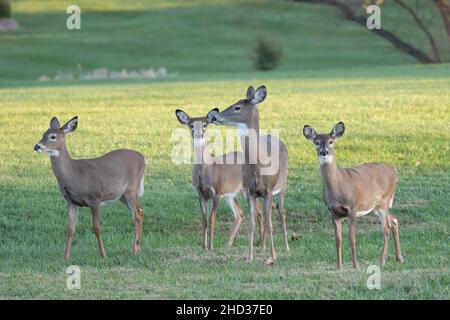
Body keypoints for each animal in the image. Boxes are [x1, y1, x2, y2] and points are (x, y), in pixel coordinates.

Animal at [35, 117, 148, 260]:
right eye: (43, 134)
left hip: (131, 189)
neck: (73, 174)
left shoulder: (95, 198)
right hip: (121, 195)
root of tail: (144, 158)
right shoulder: (71, 202)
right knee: (140, 211)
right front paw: (66, 257)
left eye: (52, 136)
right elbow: (70, 229)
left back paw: (134, 249)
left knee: (137, 214)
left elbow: (97, 228)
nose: (37, 146)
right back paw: (138, 249)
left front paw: (103, 255)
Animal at [175, 107, 266, 250]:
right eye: (191, 125)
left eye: (205, 124)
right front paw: (204, 246)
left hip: (246, 189)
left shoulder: (217, 192)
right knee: (239, 214)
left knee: (259, 210)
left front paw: (211, 246)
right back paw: (228, 244)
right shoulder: (201, 194)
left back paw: (260, 243)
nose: (198, 134)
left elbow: (212, 220)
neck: (207, 169)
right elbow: (204, 220)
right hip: (231, 194)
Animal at [213, 86, 290, 264]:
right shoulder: (249, 190)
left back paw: (286, 247)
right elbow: (251, 223)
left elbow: (270, 224)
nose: (214, 116)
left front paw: (273, 256)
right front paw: (249, 257)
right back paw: (262, 248)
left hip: (282, 185)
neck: (258, 166)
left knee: (281, 211)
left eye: (237, 107)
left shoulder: (268, 190)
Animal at [302, 122, 404, 270]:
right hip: (376, 206)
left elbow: (352, 238)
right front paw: (339, 266)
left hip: (384, 201)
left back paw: (381, 261)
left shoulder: (352, 208)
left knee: (386, 228)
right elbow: (338, 239)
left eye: (331, 141)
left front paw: (355, 265)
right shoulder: (333, 212)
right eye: (317, 142)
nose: (324, 151)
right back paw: (399, 258)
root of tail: (393, 170)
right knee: (394, 220)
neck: (338, 189)